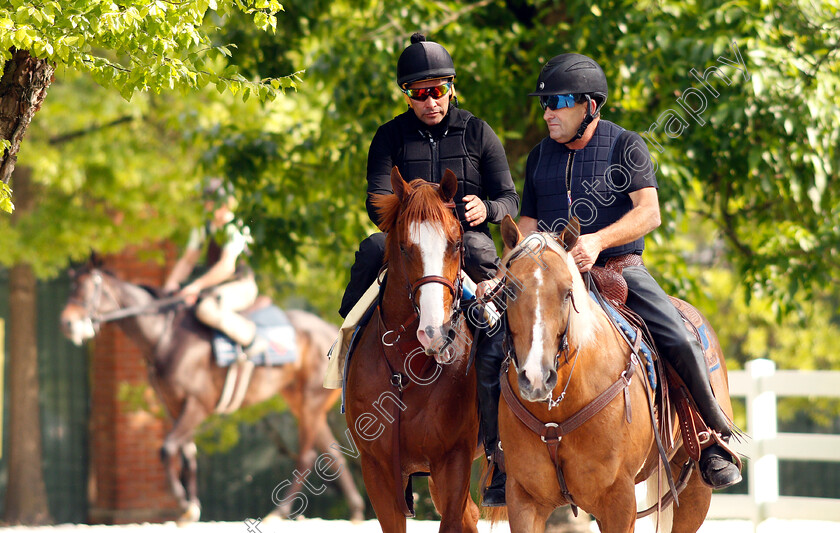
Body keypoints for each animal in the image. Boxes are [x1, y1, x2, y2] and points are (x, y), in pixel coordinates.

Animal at [58, 264, 360, 520]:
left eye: (86, 289)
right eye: (71, 287)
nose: (67, 324)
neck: (165, 337)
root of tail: (335, 331)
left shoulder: (197, 405)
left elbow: (168, 448)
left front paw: (182, 501)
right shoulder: (174, 405)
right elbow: (187, 454)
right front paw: (191, 506)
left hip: (309, 404)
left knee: (307, 456)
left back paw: (279, 512)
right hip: (303, 404)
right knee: (333, 455)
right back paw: (356, 512)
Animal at [342, 168, 480, 532]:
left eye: (456, 244)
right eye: (405, 248)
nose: (435, 332)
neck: (408, 367)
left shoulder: (454, 461)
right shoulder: (378, 468)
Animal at [492, 216, 736, 532]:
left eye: (568, 292)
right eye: (509, 290)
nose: (536, 377)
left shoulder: (619, 499)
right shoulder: (524, 498)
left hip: (695, 489)